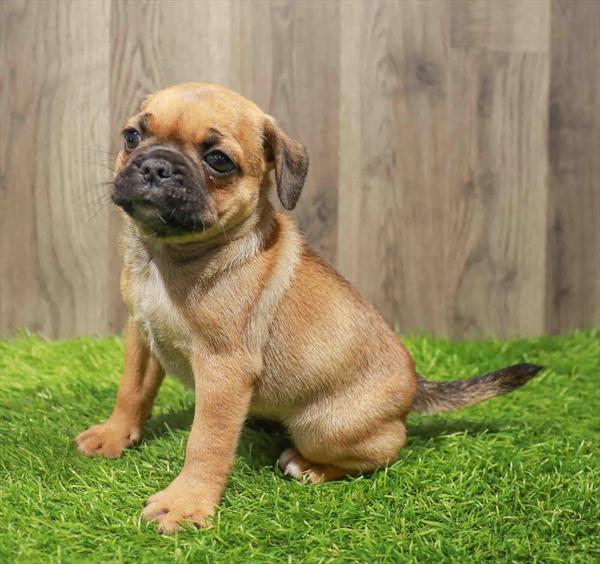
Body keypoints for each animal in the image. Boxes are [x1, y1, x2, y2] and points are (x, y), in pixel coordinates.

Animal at [76, 82, 544, 532]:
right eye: (132, 136)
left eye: (218, 161)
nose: (155, 166)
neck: (169, 255)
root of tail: (416, 385)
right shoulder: (140, 333)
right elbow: (132, 389)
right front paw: (114, 435)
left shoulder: (223, 369)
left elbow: (206, 441)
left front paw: (186, 503)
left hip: (323, 426)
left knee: (388, 448)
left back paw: (310, 466)